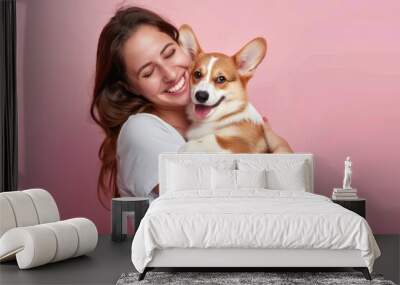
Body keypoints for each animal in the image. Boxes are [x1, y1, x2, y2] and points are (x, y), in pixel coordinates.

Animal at [180, 24, 270, 153]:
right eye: (197, 74)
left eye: (221, 79)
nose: (201, 95)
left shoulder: (242, 143)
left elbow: (211, 138)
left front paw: (185, 147)